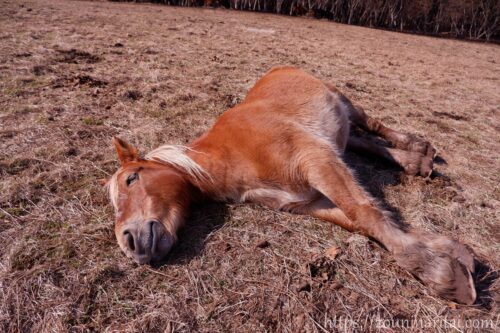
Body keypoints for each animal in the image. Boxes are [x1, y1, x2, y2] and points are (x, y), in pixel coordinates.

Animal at [106, 65, 476, 304]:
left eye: (132, 178)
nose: (130, 243)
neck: (231, 156)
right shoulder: (305, 201)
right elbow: (363, 221)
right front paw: (452, 253)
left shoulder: (317, 160)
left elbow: (364, 212)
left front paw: (440, 273)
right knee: (360, 142)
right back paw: (415, 162)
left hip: (345, 102)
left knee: (373, 126)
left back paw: (418, 148)